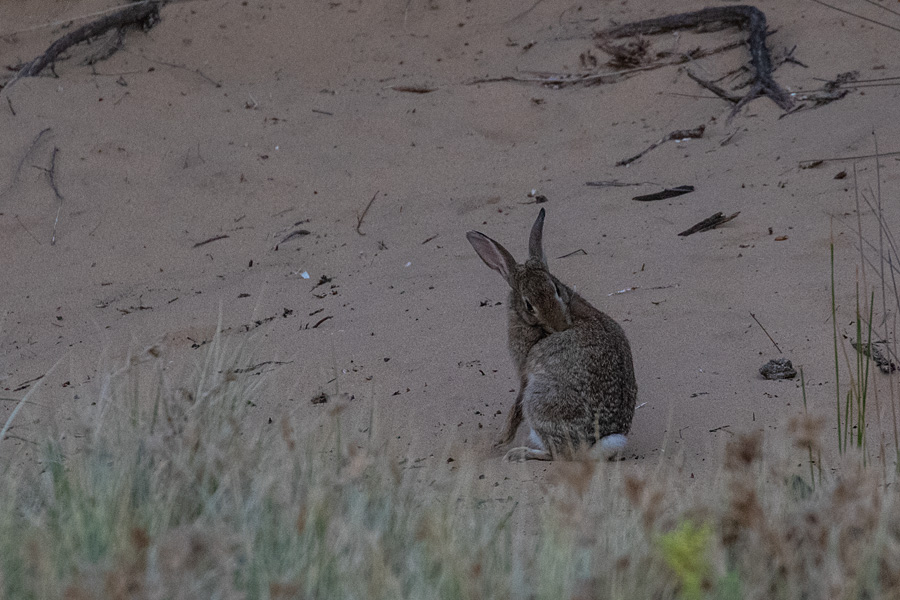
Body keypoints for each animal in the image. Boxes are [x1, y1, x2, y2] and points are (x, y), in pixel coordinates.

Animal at [466, 208, 637, 461]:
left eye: (555, 289)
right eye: (529, 304)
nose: (560, 326)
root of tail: (591, 447)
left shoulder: (524, 373)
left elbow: (516, 405)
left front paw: (501, 439)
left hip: (539, 401)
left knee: (557, 453)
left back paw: (520, 453)